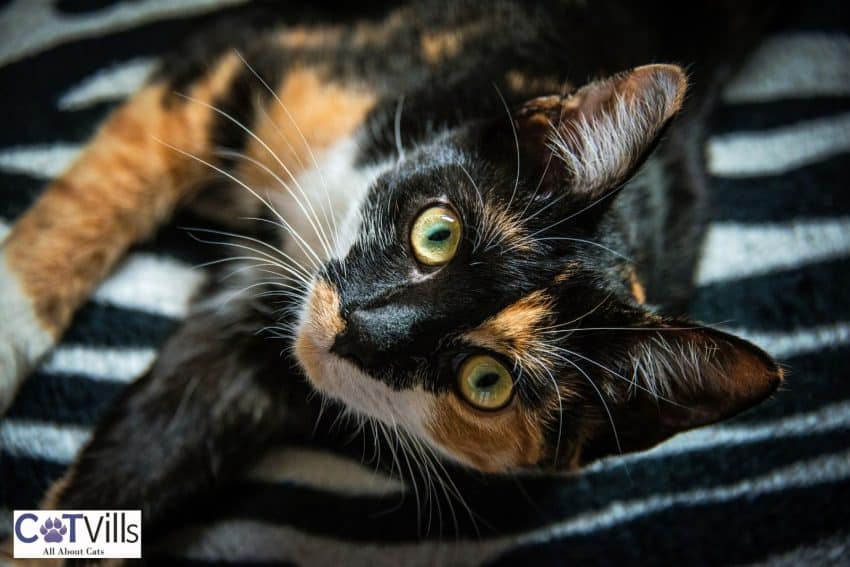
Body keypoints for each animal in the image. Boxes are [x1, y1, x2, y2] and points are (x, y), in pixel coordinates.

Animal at [1, 0, 780, 552]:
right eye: (437, 232)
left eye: (486, 381)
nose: (359, 328)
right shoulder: (244, 62)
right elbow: (95, 201)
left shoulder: (253, 344)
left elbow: (160, 439)